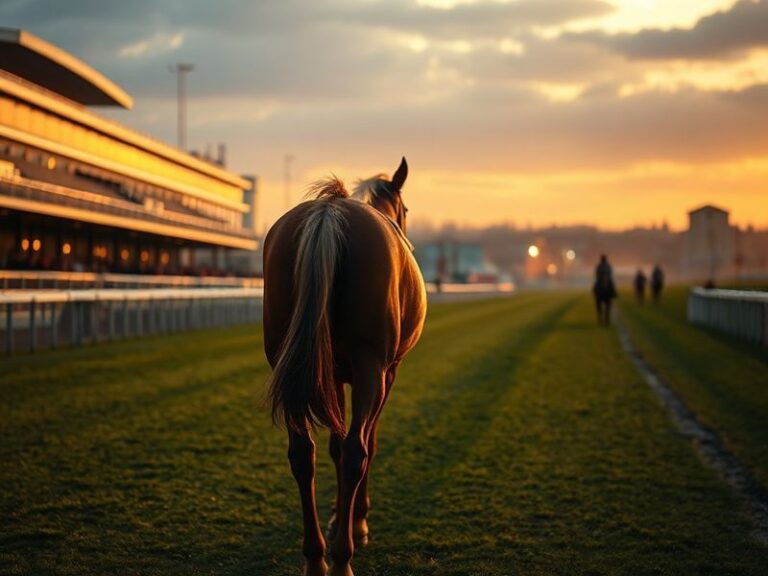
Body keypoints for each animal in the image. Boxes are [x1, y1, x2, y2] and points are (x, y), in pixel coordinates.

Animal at [262, 158, 427, 576]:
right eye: (407, 209)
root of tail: (328, 213)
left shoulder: (332, 375)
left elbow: (334, 446)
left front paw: (339, 517)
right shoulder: (387, 371)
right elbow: (365, 442)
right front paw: (356, 520)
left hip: (287, 361)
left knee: (302, 454)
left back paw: (316, 557)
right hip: (371, 370)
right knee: (357, 451)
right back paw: (341, 559)